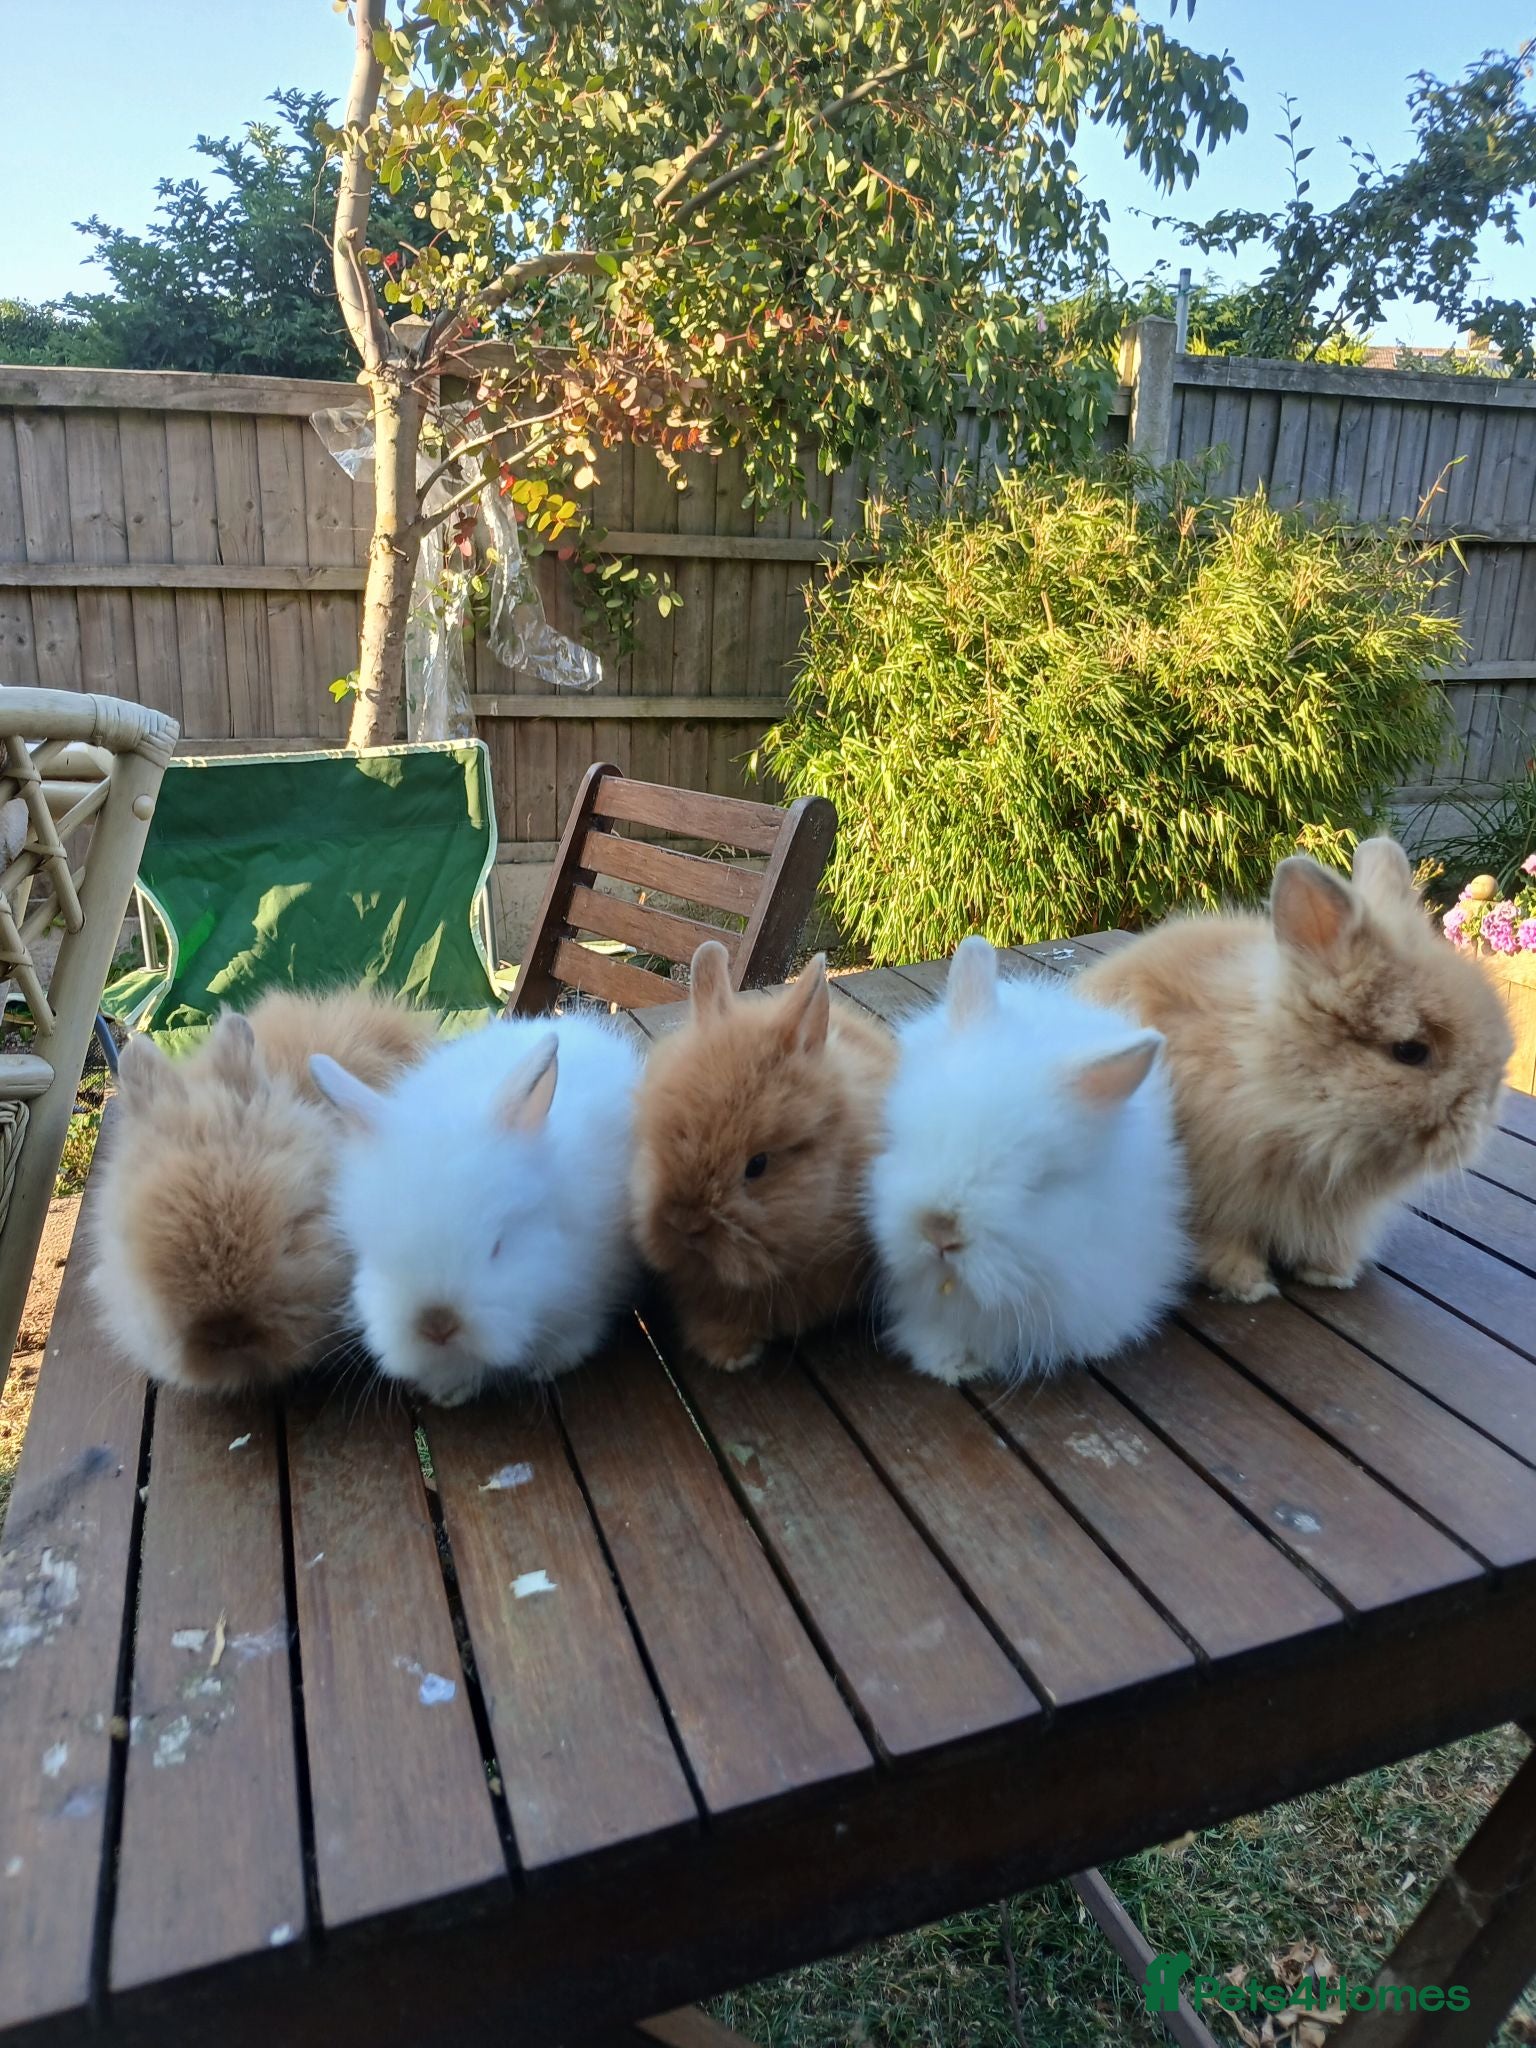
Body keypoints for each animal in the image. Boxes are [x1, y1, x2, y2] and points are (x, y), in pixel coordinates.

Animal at [1077, 836, 1514, 1303]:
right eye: (1410, 1051)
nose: (1482, 1109)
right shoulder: (1217, 1200)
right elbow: (1223, 1243)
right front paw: (1249, 1287)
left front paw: (1331, 1274)